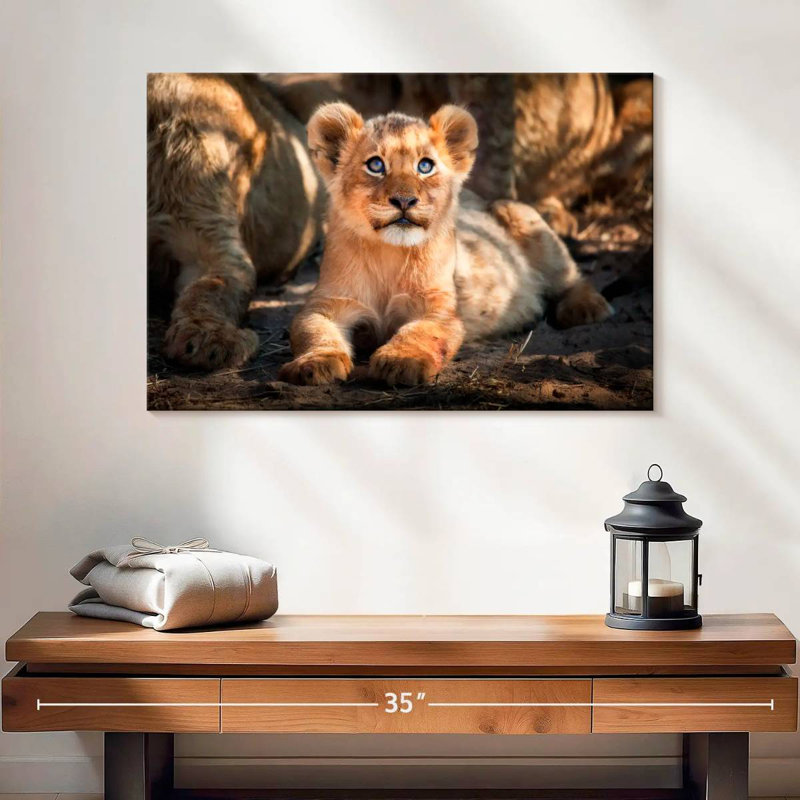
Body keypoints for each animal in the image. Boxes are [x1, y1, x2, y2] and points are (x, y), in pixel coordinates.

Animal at [279, 103, 611, 388]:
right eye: (375, 165)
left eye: (425, 166)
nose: (404, 200)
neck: (388, 254)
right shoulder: (327, 303)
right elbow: (312, 331)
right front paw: (315, 364)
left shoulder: (439, 308)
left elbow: (420, 332)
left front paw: (401, 361)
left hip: (522, 217)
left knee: (571, 276)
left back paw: (585, 308)